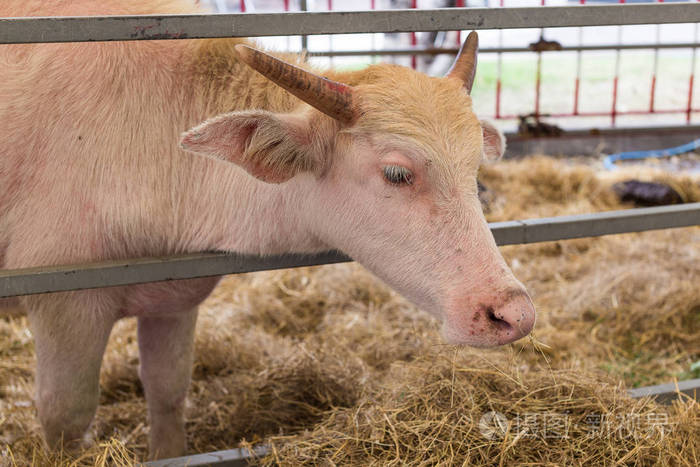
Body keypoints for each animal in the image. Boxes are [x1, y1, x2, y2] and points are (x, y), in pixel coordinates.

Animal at [1, 0, 536, 460]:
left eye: (474, 169)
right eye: (396, 173)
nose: (512, 314)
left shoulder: (173, 299)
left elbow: (168, 393)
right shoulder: (65, 306)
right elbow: (65, 417)